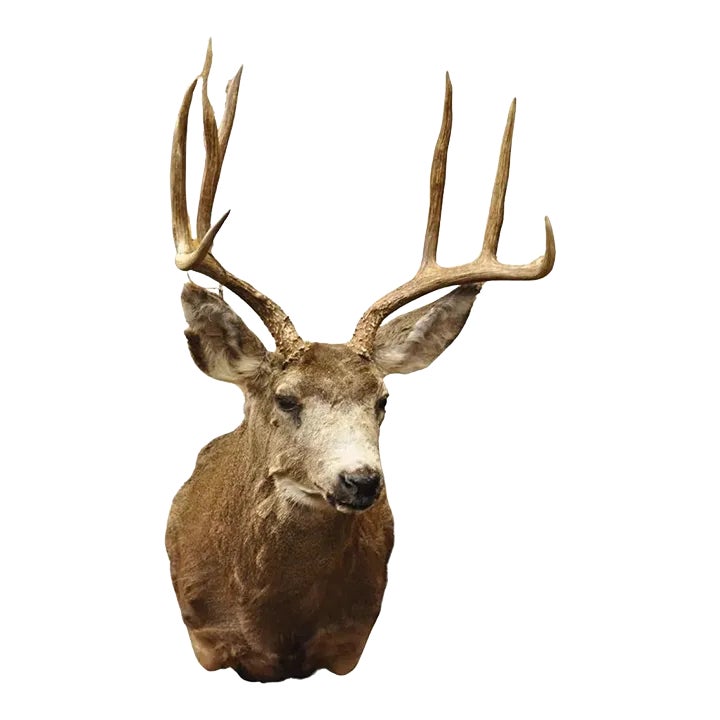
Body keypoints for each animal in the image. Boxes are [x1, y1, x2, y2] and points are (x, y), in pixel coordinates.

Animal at [165, 41, 555, 683]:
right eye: (286, 398)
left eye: (383, 400)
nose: (361, 479)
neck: (276, 633)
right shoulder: (207, 637)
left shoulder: (349, 641)